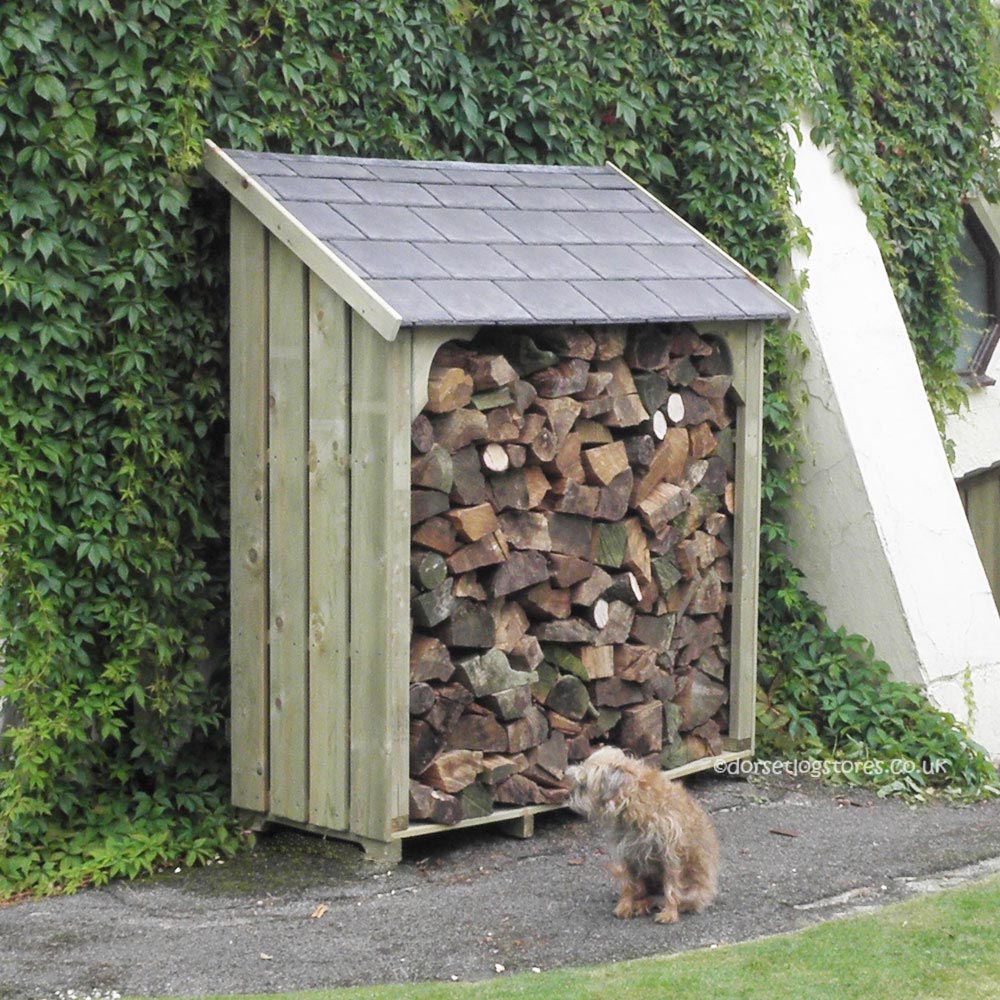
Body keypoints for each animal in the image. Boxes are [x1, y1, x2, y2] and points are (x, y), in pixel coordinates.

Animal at [564, 748, 720, 924]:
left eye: (583, 785)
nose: (567, 795)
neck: (632, 801)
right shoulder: (626, 855)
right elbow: (627, 884)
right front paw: (624, 906)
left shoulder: (670, 856)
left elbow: (671, 887)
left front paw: (670, 913)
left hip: (692, 893)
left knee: (663, 898)